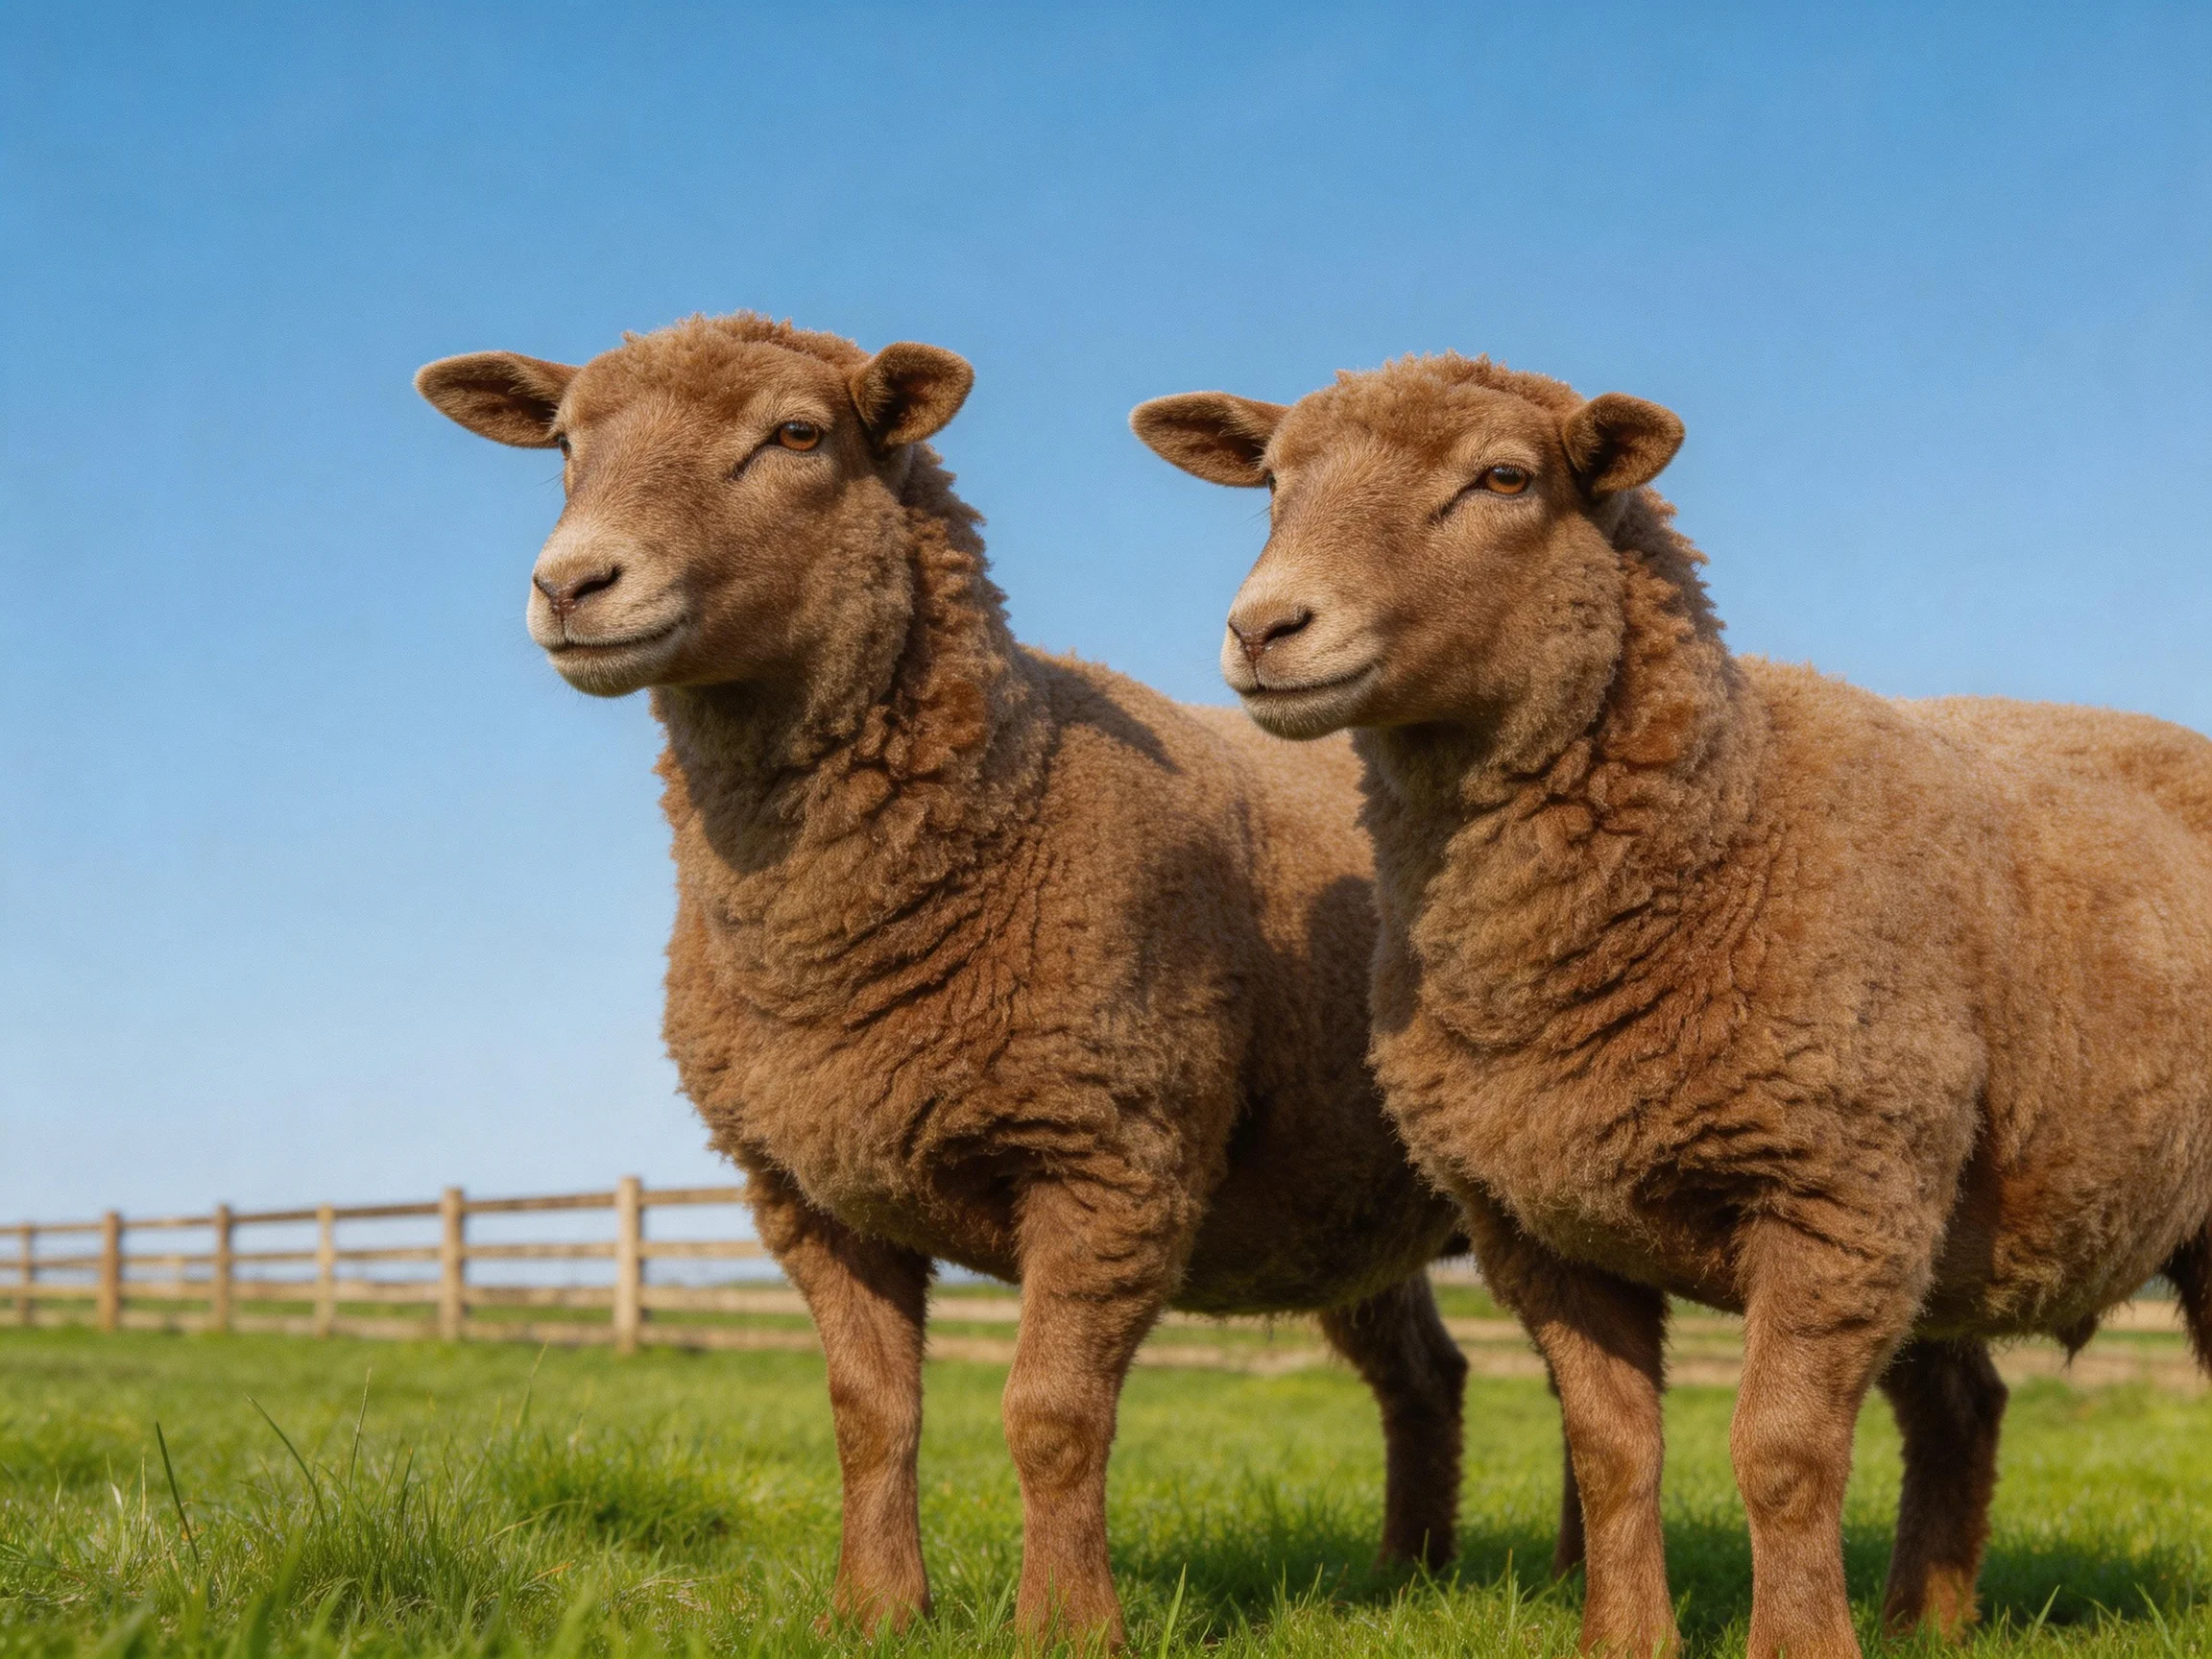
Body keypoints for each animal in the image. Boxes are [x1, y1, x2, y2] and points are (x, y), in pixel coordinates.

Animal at [414, 313, 1470, 1646]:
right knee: (1432, 1374)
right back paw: (1414, 1578)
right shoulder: (805, 1188)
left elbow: (1051, 1416)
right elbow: (869, 1416)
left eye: (797, 433)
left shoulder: (1111, 1154)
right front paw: (871, 1614)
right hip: (1347, 1207)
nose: (570, 585)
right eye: (563, 444)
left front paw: (1067, 1629)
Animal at [1131, 353, 2212, 1659]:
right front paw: (1624, 1639)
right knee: (1963, 1402)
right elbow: (1610, 1454)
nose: (1264, 628)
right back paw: (1924, 1620)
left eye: (1506, 479)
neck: (1726, 814)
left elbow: (1782, 1455)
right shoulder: (1540, 1226)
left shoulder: (1835, 1195)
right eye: (1274, 484)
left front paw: (1799, 1646)